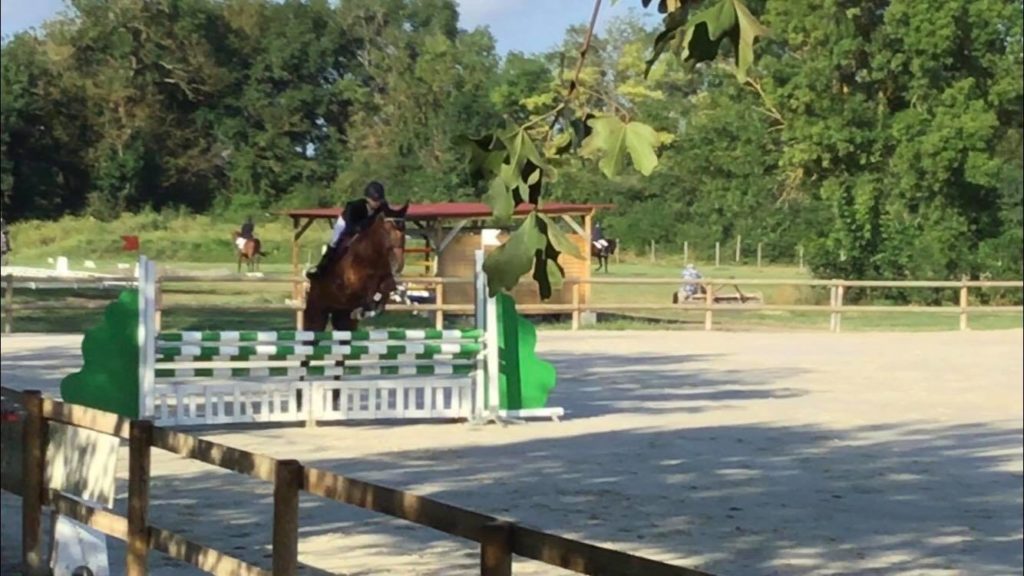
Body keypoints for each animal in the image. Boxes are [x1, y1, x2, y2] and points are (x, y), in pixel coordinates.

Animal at [301, 201, 409, 330]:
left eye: (404, 230)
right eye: (387, 230)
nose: (399, 264)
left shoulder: (386, 279)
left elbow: (387, 288)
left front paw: (376, 307)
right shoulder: (352, 286)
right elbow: (368, 290)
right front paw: (367, 309)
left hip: (343, 318)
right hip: (316, 314)